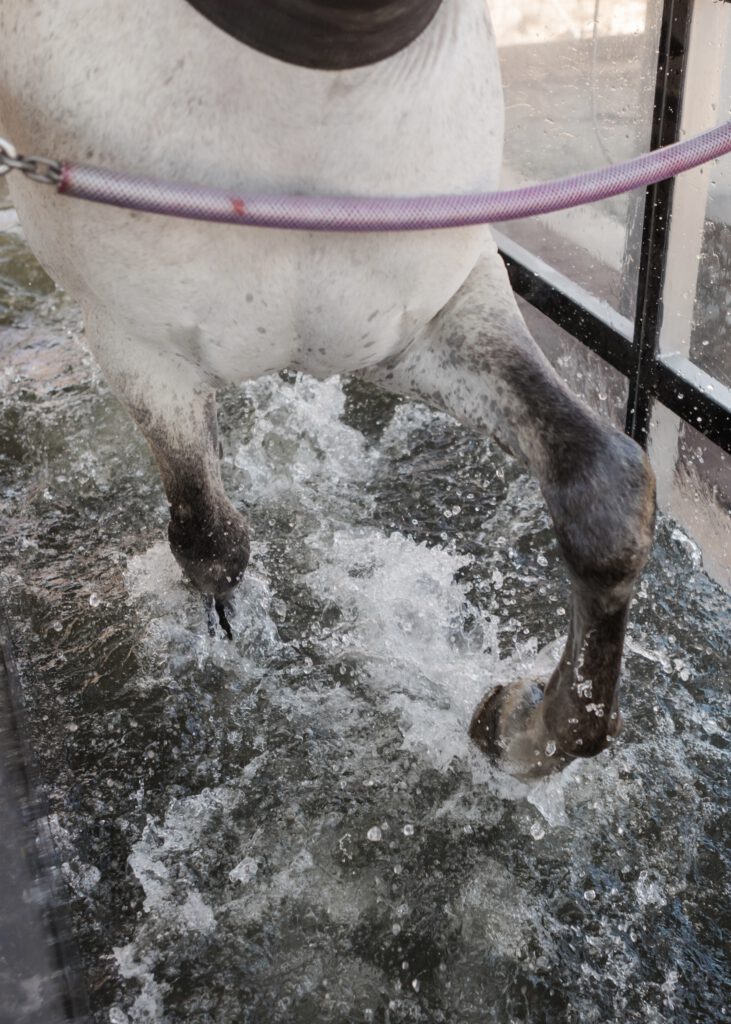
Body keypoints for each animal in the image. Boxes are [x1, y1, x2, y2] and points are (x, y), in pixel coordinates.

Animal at [0, 0, 656, 779]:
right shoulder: (136, 349)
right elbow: (209, 534)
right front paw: (221, 623)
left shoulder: (429, 320)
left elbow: (605, 495)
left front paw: (523, 729)